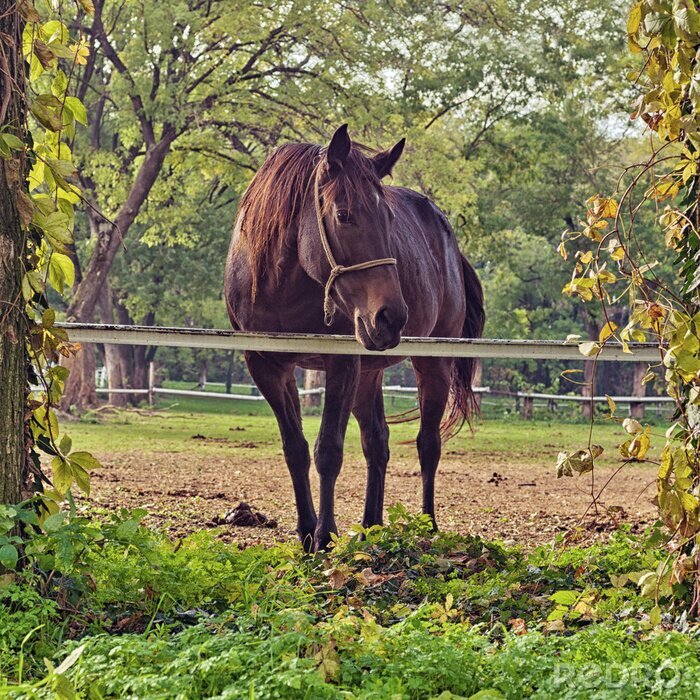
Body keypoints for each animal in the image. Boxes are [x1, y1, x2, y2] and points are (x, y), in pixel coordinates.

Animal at [224, 124, 484, 552]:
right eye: (344, 215)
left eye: (389, 217)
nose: (392, 316)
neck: (281, 281)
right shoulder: (267, 365)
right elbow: (296, 449)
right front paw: (306, 530)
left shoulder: (341, 363)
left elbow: (328, 450)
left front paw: (324, 535)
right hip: (369, 373)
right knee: (377, 444)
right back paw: (370, 526)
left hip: (432, 365)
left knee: (428, 444)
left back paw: (427, 525)